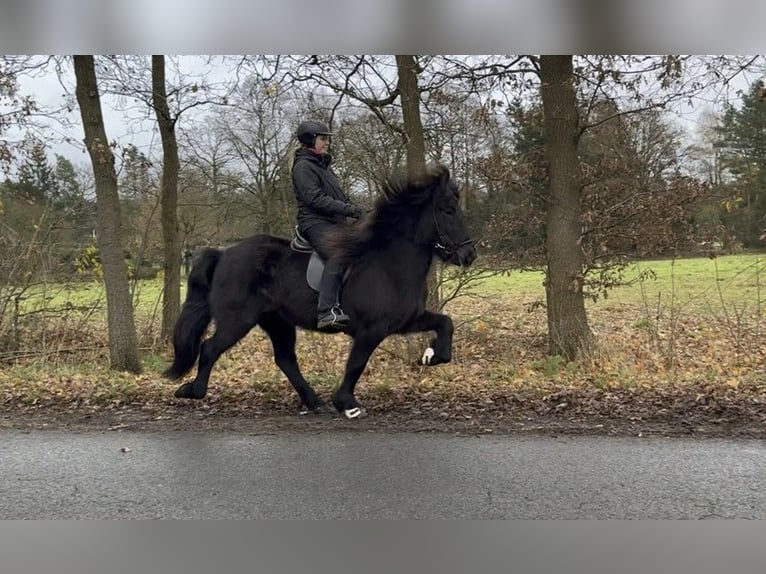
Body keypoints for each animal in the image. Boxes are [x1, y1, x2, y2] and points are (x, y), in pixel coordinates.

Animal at [164, 164, 476, 420]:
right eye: (447, 210)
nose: (469, 255)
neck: (390, 263)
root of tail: (223, 254)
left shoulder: (405, 320)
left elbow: (445, 323)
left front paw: (432, 356)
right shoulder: (372, 330)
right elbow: (356, 364)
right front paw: (347, 403)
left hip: (277, 321)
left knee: (285, 359)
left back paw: (314, 402)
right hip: (237, 320)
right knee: (210, 348)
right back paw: (192, 391)